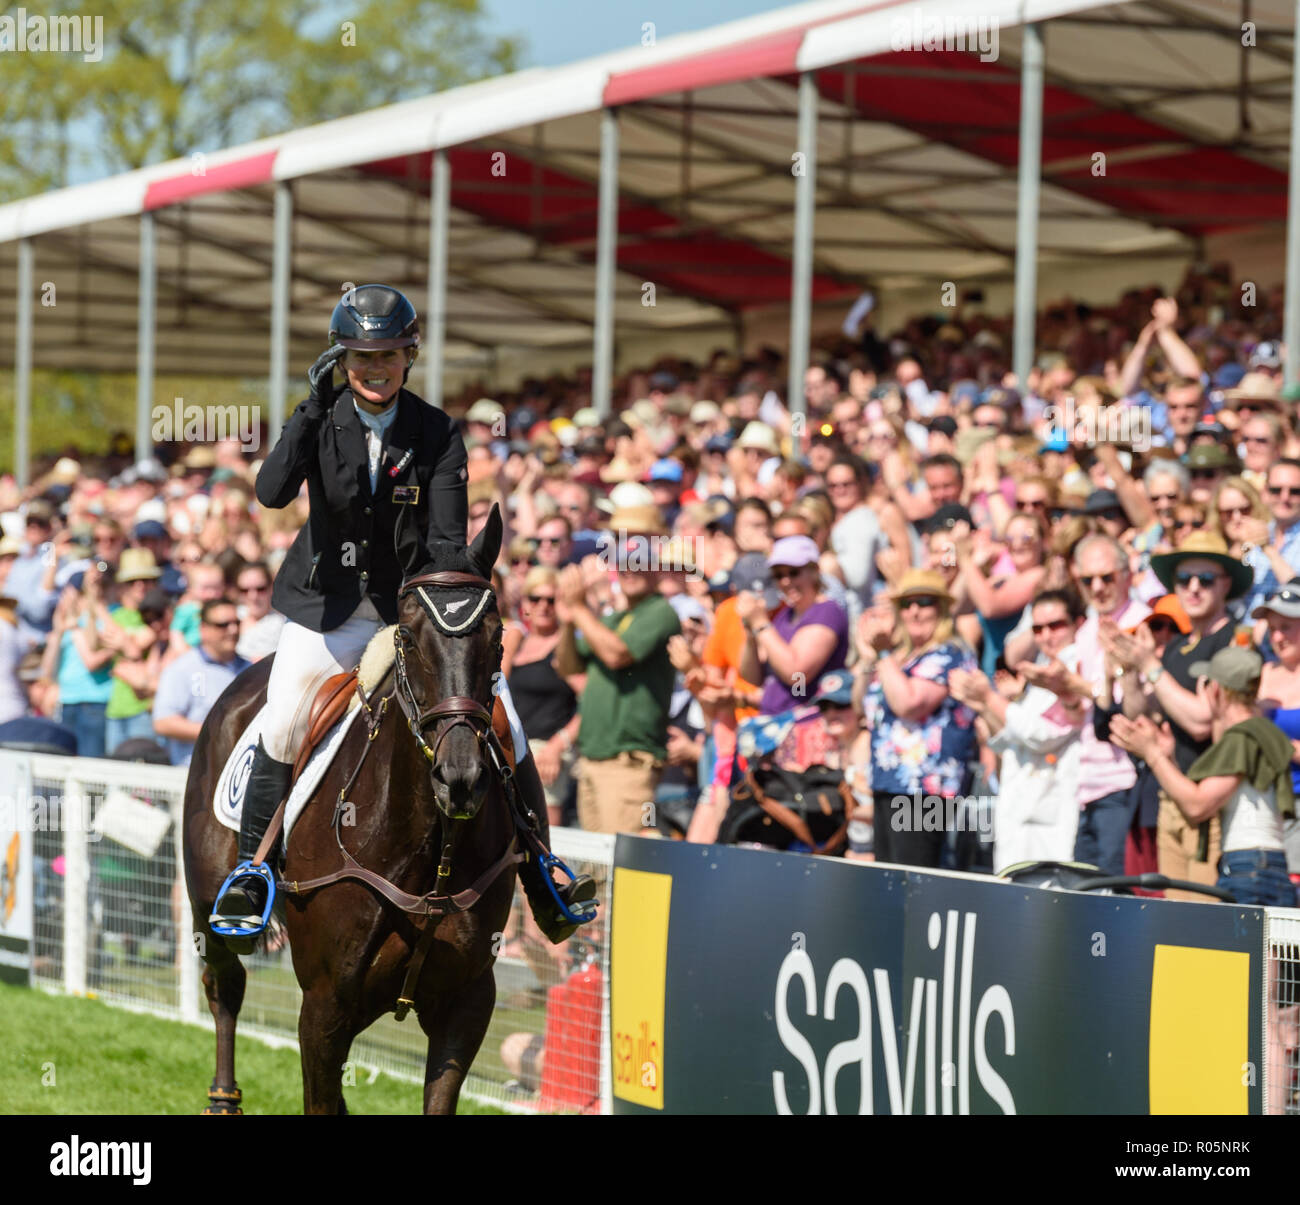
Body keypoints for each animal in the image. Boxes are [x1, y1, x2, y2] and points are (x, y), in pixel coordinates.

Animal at [184, 506, 527, 1112]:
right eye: (409, 637)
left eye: (498, 636)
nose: (461, 779)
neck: (429, 851)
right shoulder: (324, 1006)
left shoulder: (467, 1002)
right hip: (211, 912)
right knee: (225, 987)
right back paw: (223, 1097)